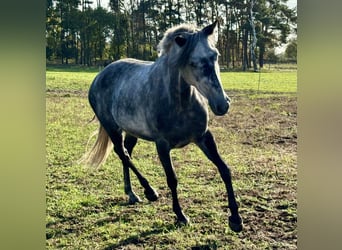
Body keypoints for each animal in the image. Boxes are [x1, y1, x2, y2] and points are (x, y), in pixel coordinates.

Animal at [82, 21, 243, 232]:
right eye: (192, 62)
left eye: (215, 55)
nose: (222, 104)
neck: (180, 103)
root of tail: (100, 76)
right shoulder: (162, 145)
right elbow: (172, 179)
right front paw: (181, 216)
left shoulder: (204, 137)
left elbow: (225, 170)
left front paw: (235, 219)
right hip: (112, 128)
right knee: (122, 154)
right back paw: (149, 191)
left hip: (132, 131)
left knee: (126, 153)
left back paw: (132, 194)